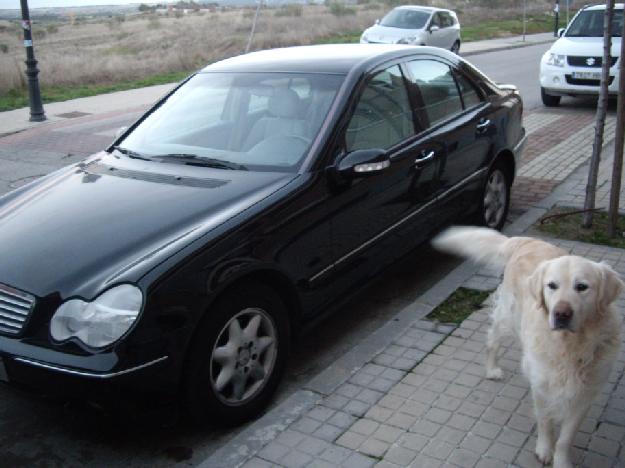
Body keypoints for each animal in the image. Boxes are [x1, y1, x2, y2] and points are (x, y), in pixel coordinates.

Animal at [432, 225, 620, 466]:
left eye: (582, 287)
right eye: (552, 286)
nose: (561, 314)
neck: (568, 346)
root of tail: (526, 240)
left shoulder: (586, 394)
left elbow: (566, 438)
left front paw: (561, 461)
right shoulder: (541, 387)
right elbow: (545, 421)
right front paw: (544, 450)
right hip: (507, 316)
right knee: (492, 340)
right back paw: (492, 369)